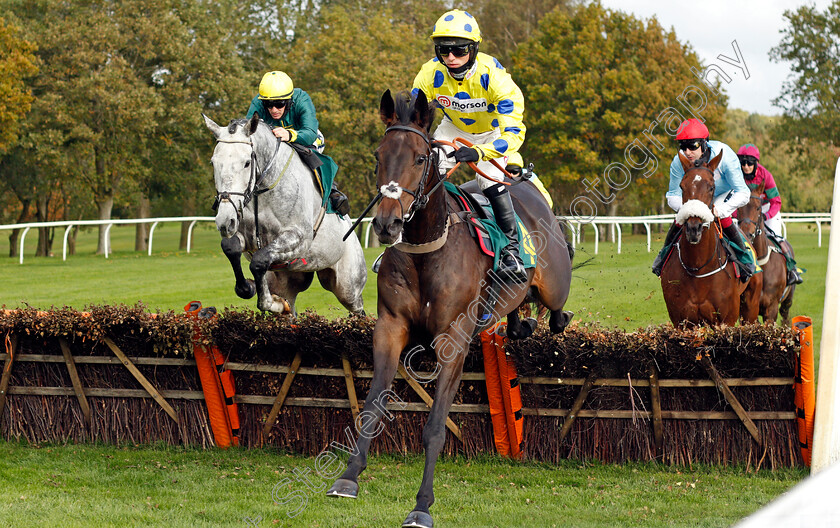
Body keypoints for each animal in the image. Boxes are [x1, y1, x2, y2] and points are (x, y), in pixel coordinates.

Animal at [205, 112, 366, 314]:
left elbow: (259, 261)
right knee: (289, 302)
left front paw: (267, 300)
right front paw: (248, 288)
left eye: (247, 163)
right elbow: (231, 248)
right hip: (287, 281)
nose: (225, 222)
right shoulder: (245, 235)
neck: (262, 192)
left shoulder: (298, 237)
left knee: (357, 308)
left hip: (348, 286)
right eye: (213, 162)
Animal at [324, 91, 576, 528]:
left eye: (420, 158)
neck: (428, 249)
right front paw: (349, 477)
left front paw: (422, 505)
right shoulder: (390, 327)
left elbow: (436, 426)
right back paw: (518, 324)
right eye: (378, 156)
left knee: (558, 310)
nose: (387, 225)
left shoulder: (454, 338)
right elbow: (372, 406)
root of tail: (523, 186)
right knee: (518, 313)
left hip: (555, 281)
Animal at [660, 151, 764, 326]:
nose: (694, 228)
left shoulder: (727, 319)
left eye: (712, 187)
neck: (698, 266)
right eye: (681, 186)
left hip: (751, 305)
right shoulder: (681, 321)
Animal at [736, 182, 796, 326]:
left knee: (785, 316)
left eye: (758, 208)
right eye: (739, 208)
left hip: (787, 300)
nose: (747, 234)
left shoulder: (771, 309)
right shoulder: (745, 310)